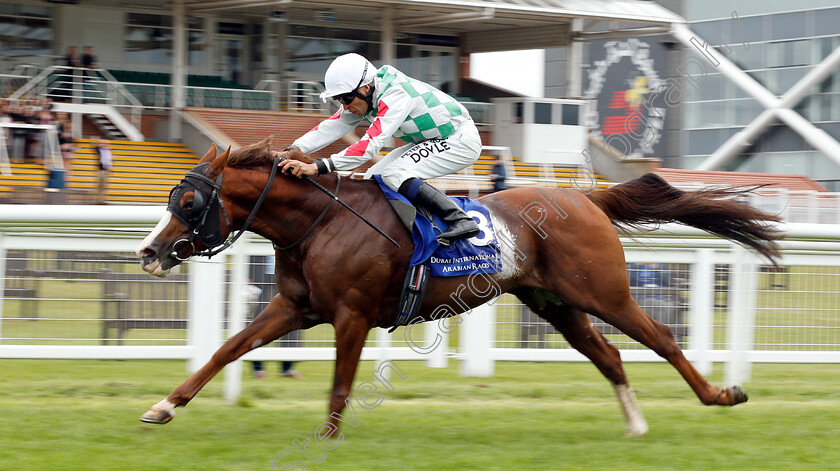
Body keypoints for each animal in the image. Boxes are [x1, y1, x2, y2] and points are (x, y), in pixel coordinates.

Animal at [133, 141, 780, 438]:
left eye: (188, 203)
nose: (150, 251)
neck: (320, 221)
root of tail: (587, 198)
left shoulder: (352, 315)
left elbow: (340, 383)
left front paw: (328, 438)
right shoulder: (296, 307)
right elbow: (226, 349)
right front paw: (163, 405)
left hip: (604, 293)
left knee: (663, 338)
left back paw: (721, 395)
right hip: (557, 304)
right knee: (610, 356)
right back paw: (636, 424)